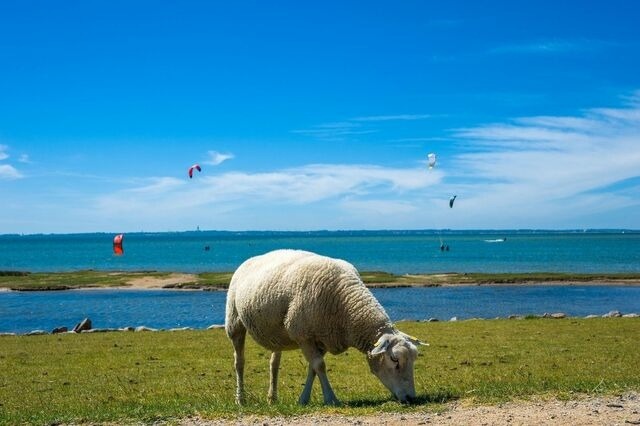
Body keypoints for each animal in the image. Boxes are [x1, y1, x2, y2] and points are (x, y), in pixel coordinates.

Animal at [225, 250, 424, 406]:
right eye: (394, 360)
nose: (411, 398)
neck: (346, 306)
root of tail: (251, 259)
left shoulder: (324, 337)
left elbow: (313, 368)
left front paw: (303, 400)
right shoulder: (303, 335)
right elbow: (319, 366)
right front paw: (331, 399)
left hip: (277, 333)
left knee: (274, 364)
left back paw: (272, 398)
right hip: (234, 322)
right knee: (239, 361)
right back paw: (240, 399)